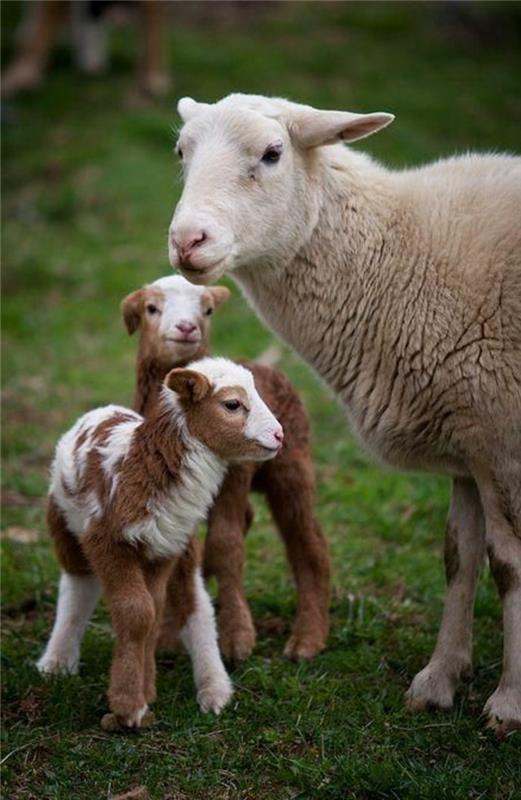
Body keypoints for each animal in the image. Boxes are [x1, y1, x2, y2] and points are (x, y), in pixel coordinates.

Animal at [168, 90, 520, 736]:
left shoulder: (501, 443)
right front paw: (438, 681)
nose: (188, 240)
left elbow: (507, 566)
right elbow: (458, 557)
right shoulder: (468, 443)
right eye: (182, 152)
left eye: (273, 153)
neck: (401, 263)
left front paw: (509, 702)